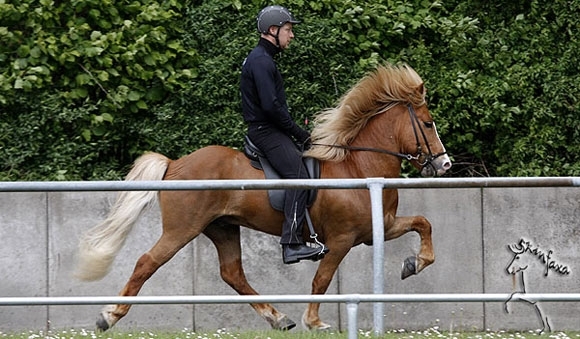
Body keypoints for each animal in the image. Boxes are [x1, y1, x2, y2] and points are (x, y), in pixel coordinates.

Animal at [73, 63, 454, 332]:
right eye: (428, 123)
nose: (445, 163)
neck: (358, 166)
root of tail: (175, 164)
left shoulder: (379, 228)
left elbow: (424, 223)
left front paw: (414, 263)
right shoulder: (342, 239)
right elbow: (322, 279)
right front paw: (314, 321)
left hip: (222, 228)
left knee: (233, 274)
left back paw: (278, 317)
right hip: (182, 229)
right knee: (146, 262)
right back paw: (109, 315)